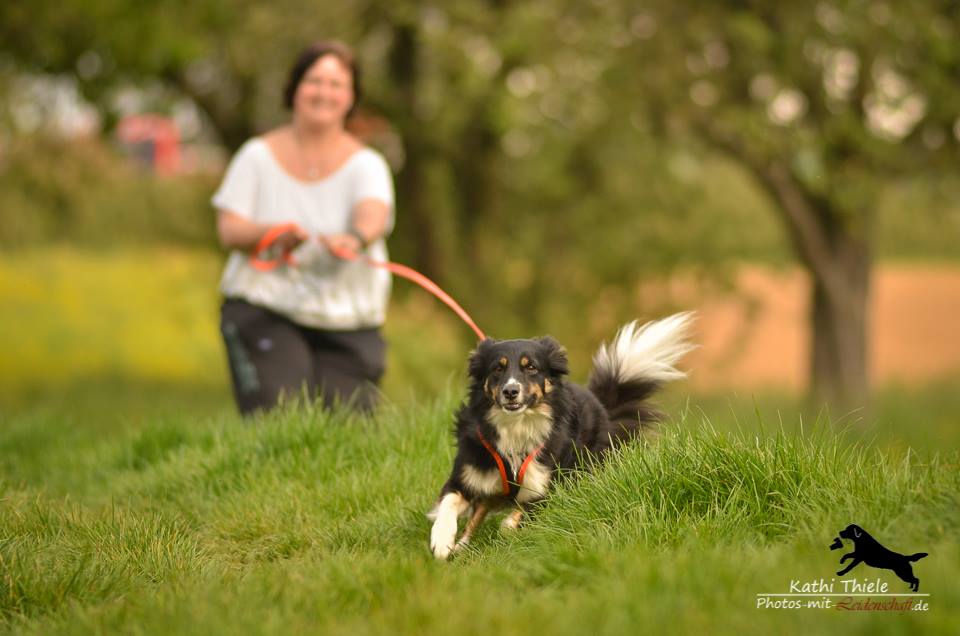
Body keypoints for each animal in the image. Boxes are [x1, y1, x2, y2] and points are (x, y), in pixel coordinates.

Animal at [426, 312, 688, 556]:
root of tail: (601, 404)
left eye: (531, 367)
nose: (510, 391)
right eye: (497, 368)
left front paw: (509, 527)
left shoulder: (547, 484)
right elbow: (448, 503)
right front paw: (442, 541)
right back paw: (461, 545)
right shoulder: (467, 476)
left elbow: (519, 515)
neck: (516, 425)